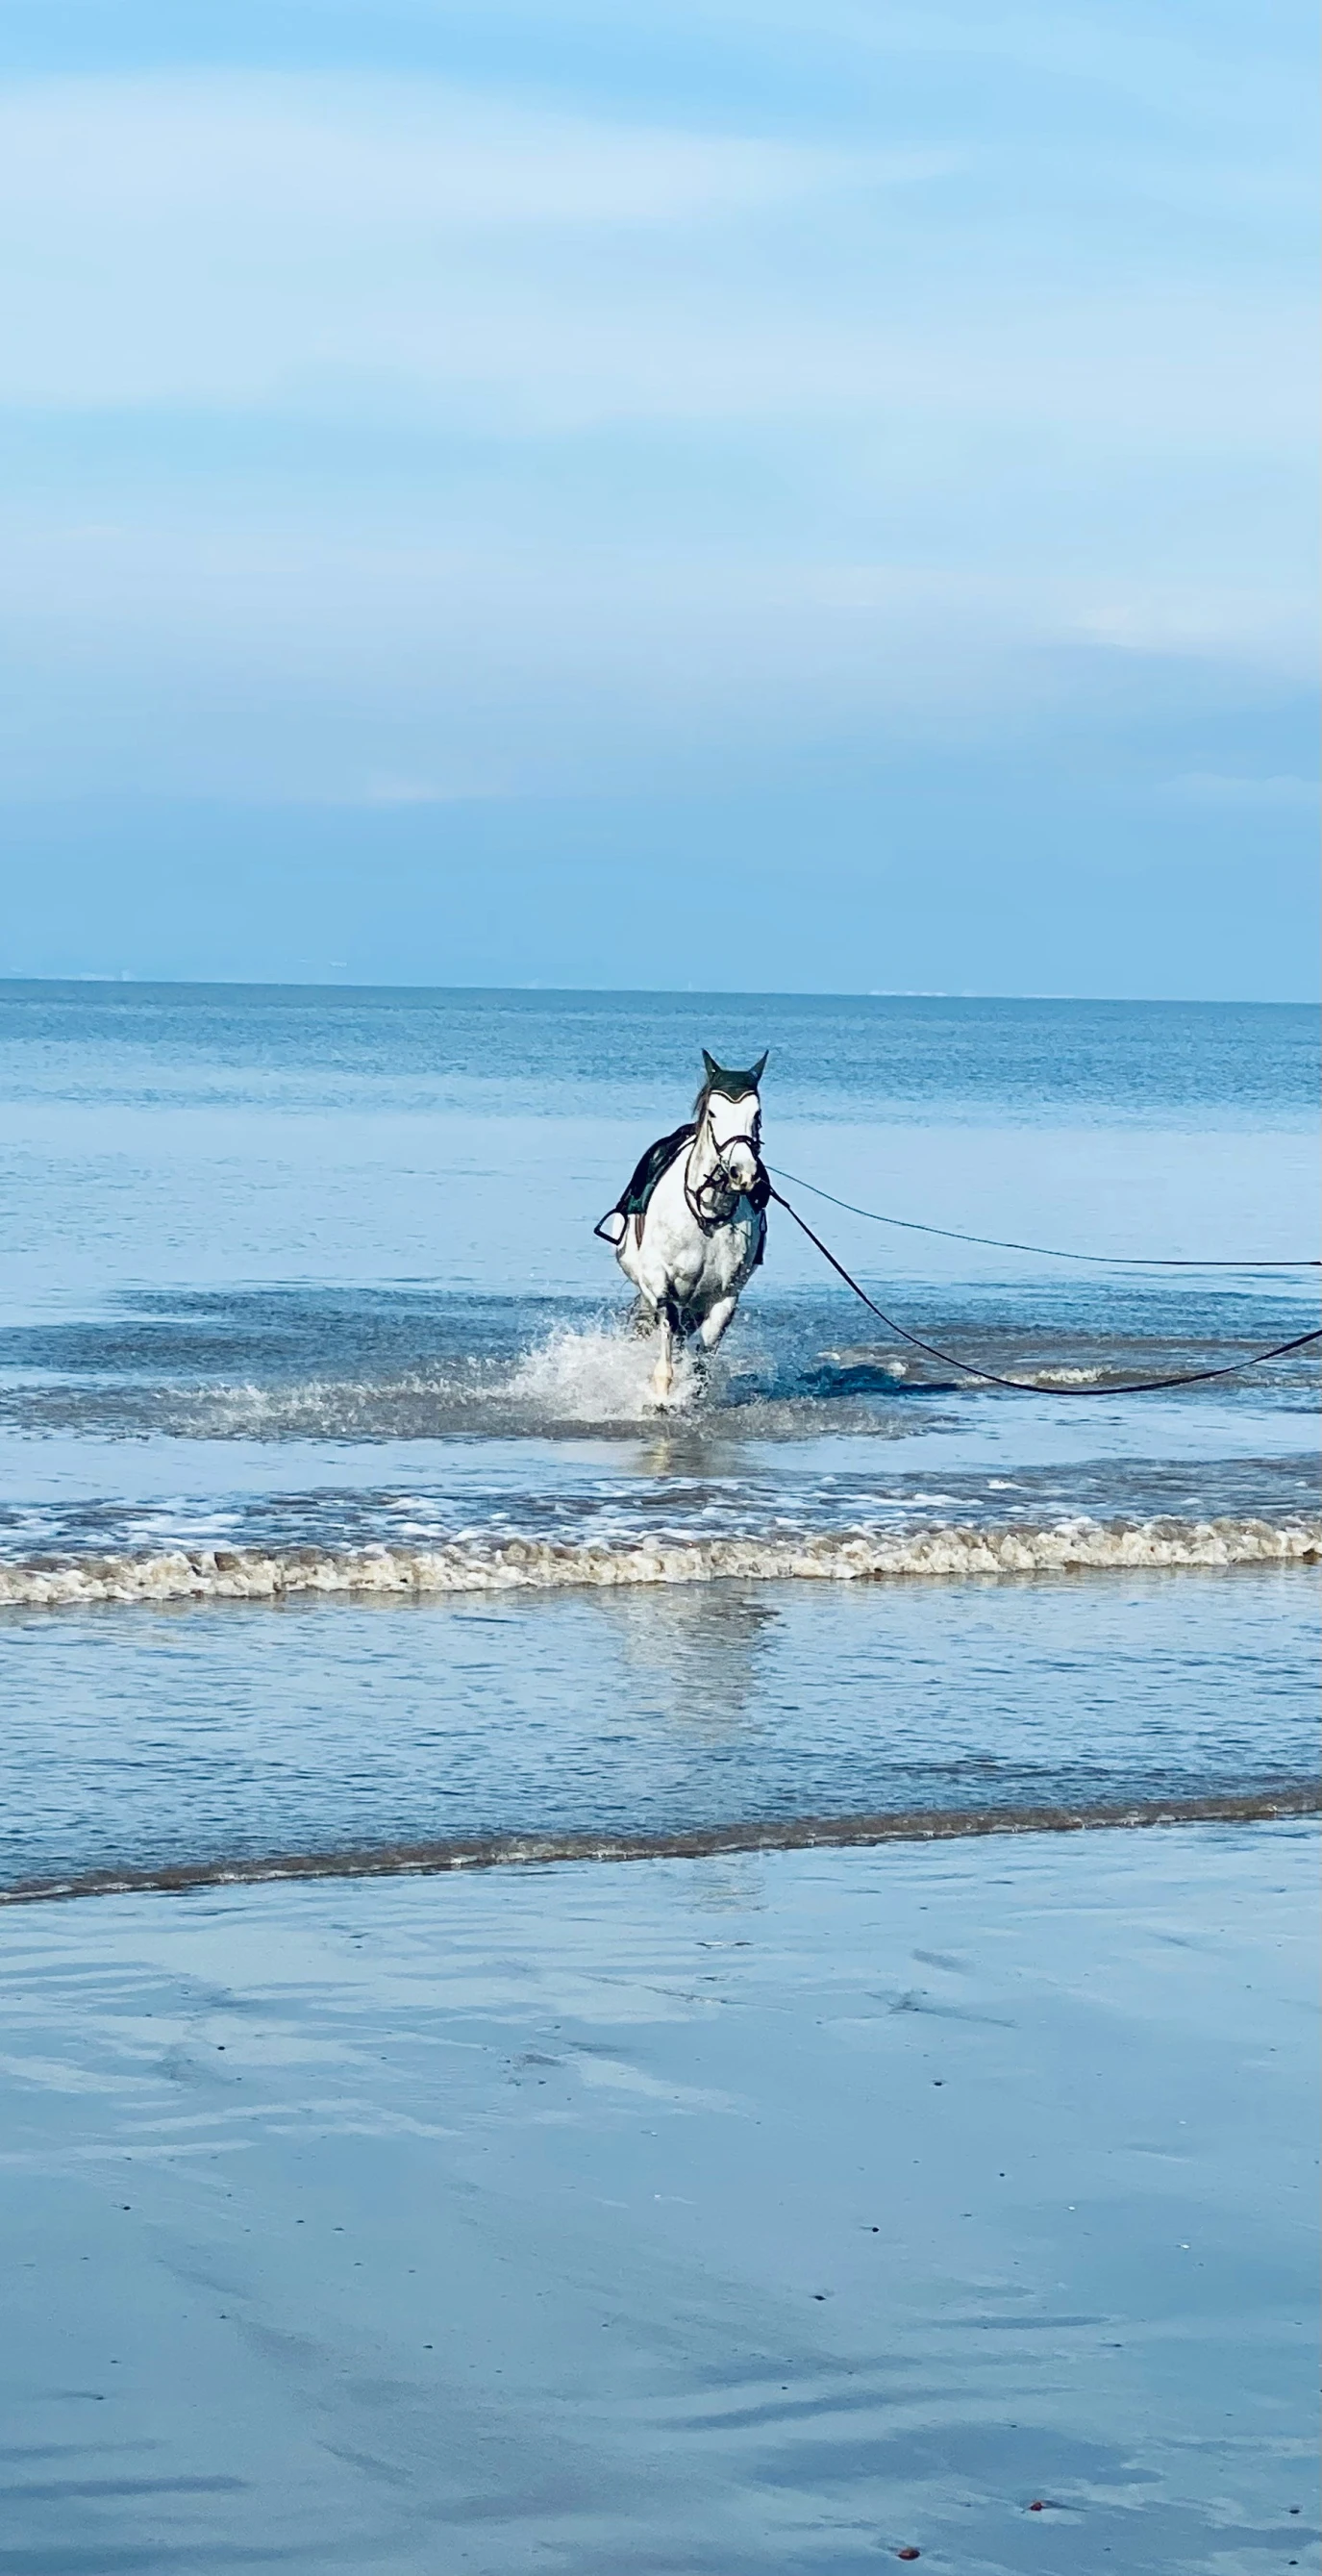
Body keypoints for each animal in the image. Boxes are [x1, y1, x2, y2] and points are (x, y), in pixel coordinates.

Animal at [595, 1051, 767, 1412]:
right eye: (713, 1113)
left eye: (756, 1114)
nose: (742, 1173)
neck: (707, 1215)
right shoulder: (660, 1282)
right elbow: (667, 1326)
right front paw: (661, 1395)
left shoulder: (725, 1296)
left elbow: (705, 1350)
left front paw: (693, 1394)